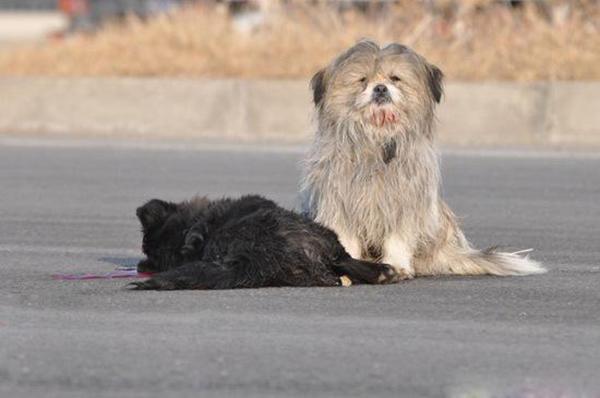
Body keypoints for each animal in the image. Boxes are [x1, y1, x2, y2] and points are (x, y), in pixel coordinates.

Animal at [300, 41, 544, 280]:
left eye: (394, 78)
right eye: (363, 80)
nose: (380, 88)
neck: (378, 139)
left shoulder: (405, 205)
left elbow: (398, 238)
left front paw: (398, 267)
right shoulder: (339, 203)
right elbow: (345, 237)